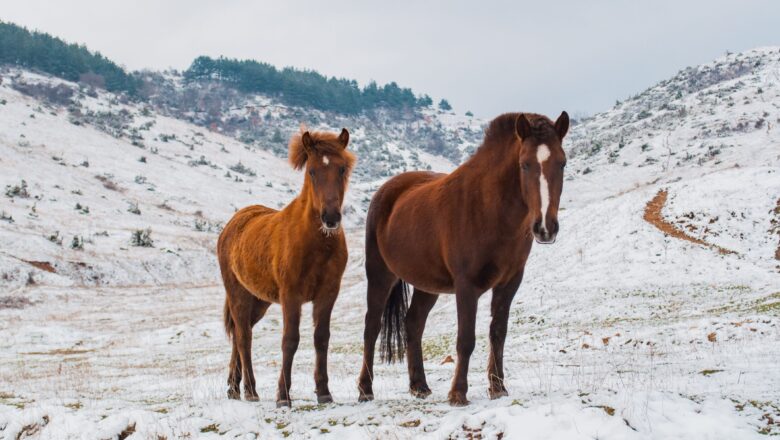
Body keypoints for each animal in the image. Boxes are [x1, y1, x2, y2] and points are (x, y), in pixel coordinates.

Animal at [217, 126, 355, 407]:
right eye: (312, 171)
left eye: (342, 169)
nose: (331, 218)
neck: (315, 245)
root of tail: (232, 225)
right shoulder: (291, 295)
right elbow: (290, 340)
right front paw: (283, 396)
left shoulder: (328, 294)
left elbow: (321, 338)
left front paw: (324, 392)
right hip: (238, 295)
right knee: (244, 338)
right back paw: (250, 390)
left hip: (259, 301)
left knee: (239, 333)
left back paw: (234, 388)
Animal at [357, 112, 569, 406]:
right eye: (525, 164)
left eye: (562, 163)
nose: (545, 228)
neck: (489, 208)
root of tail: (386, 191)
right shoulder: (467, 286)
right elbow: (466, 339)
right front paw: (458, 393)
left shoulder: (509, 283)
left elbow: (498, 333)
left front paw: (498, 387)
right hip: (380, 275)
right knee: (371, 327)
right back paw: (365, 389)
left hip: (427, 285)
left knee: (413, 323)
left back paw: (419, 386)